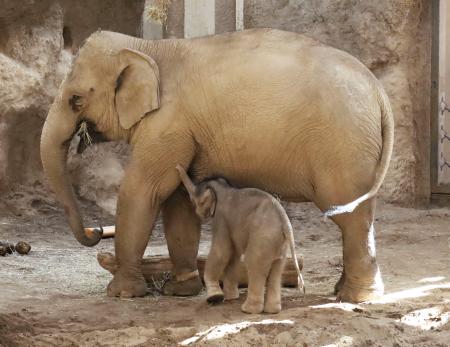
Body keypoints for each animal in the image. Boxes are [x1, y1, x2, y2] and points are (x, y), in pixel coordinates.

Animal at [174, 166, 304, 316]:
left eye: (194, 200)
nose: (177, 166)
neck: (223, 188)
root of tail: (285, 222)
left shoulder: (221, 219)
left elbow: (222, 251)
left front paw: (215, 297)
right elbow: (233, 255)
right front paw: (231, 297)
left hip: (263, 238)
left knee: (254, 264)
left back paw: (248, 310)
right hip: (279, 243)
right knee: (277, 269)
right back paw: (272, 311)